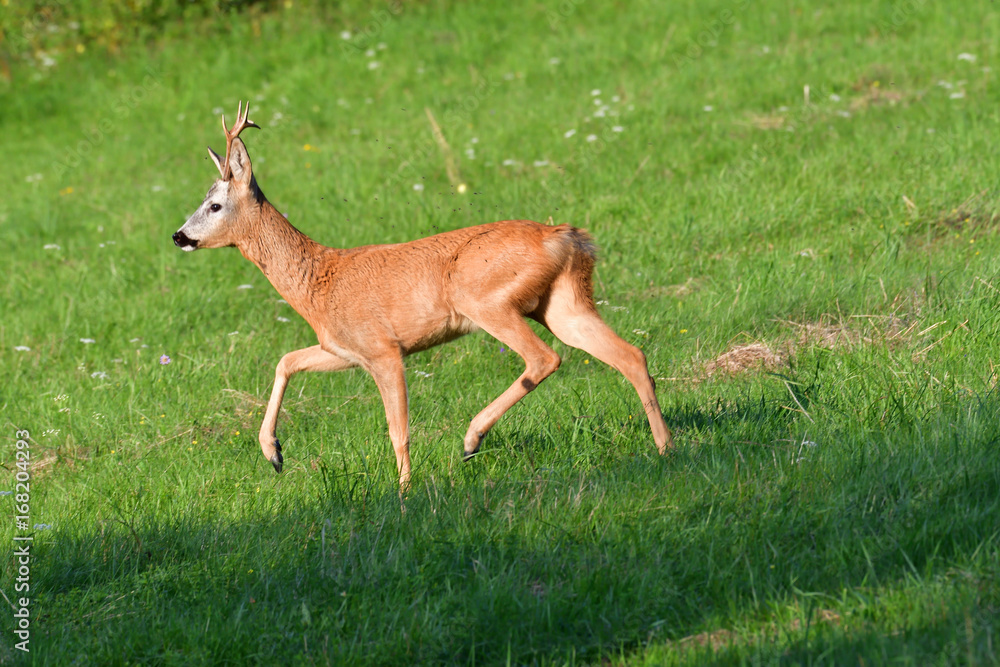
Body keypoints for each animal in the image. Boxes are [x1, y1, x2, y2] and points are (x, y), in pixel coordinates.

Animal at [174, 102, 672, 488]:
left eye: (215, 205)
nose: (179, 235)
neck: (319, 282)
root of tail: (565, 237)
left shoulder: (384, 349)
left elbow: (398, 430)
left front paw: (403, 492)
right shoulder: (343, 349)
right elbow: (287, 360)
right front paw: (274, 453)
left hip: (487, 301)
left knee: (544, 358)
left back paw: (472, 440)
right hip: (562, 304)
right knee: (630, 355)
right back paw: (666, 447)